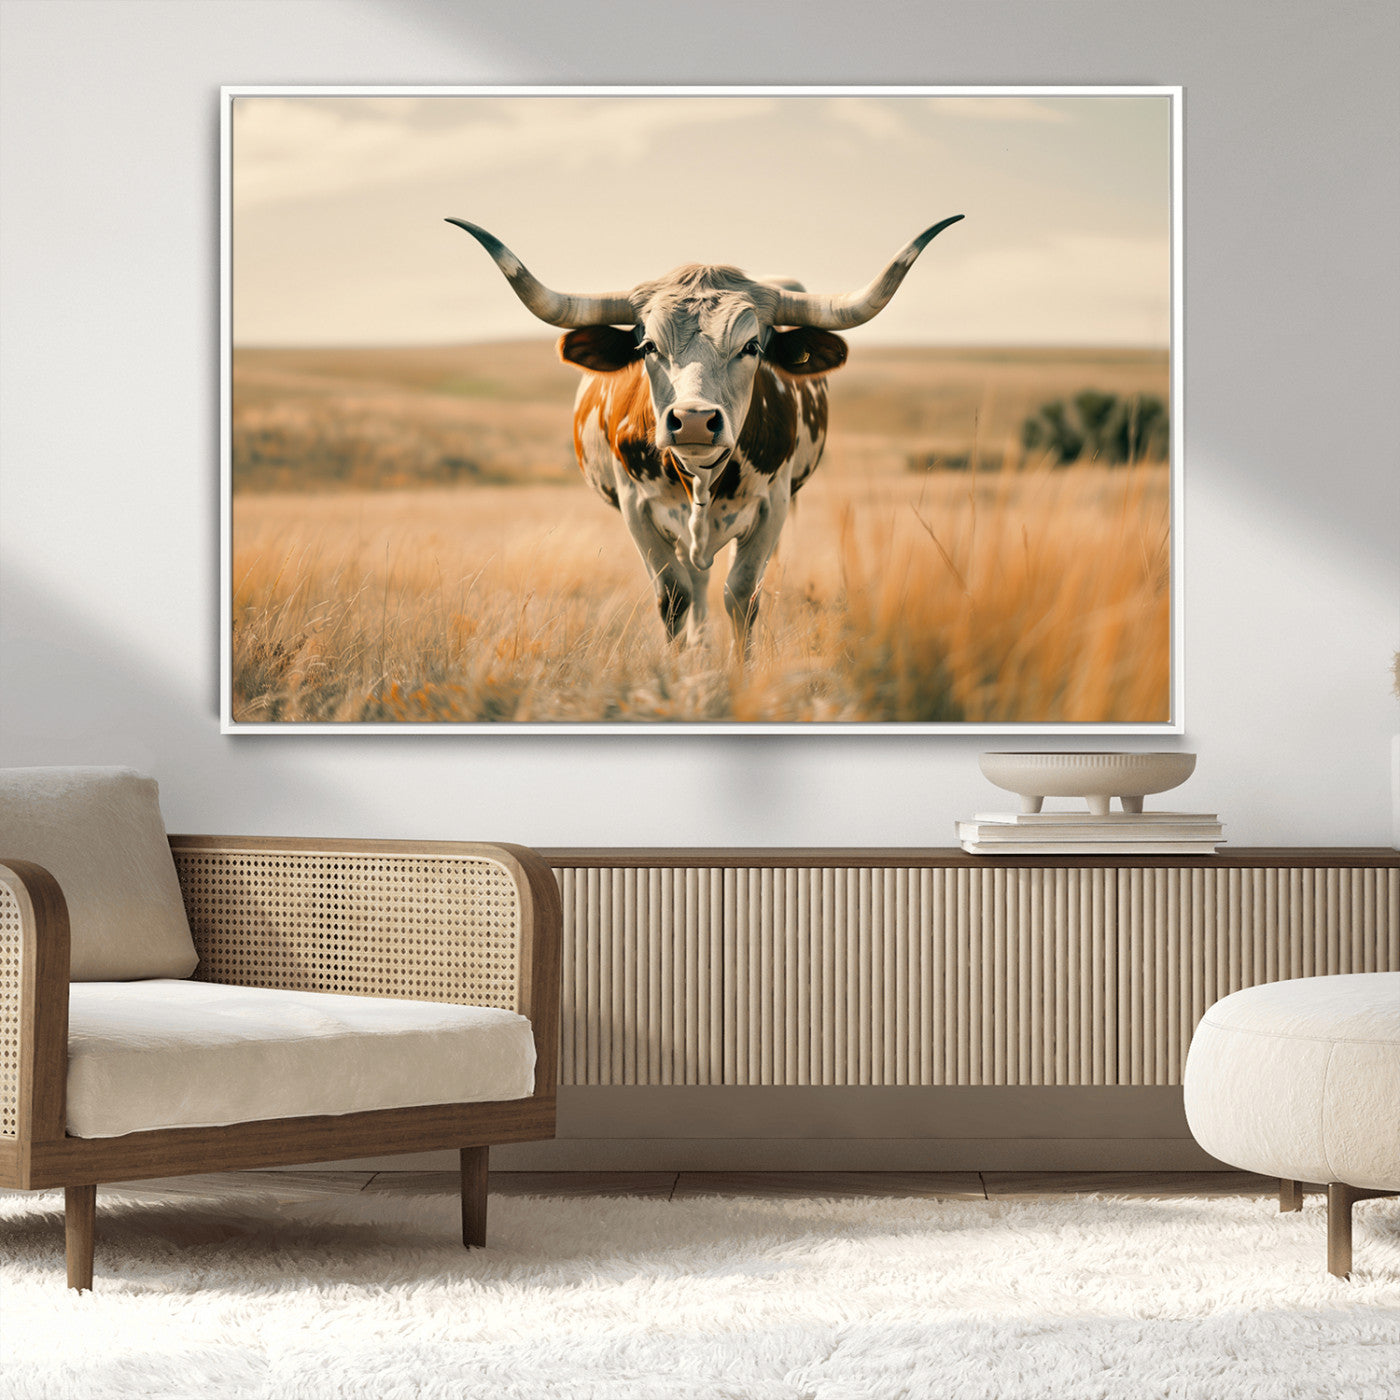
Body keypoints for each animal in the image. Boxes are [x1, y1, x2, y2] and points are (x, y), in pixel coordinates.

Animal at [447, 216, 963, 654]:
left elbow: (742, 595)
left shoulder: (773, 506)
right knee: (693, 583)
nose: (693, 420)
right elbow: (674, 595)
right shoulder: (636, 508)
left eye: (752, 346)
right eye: (647, 346)